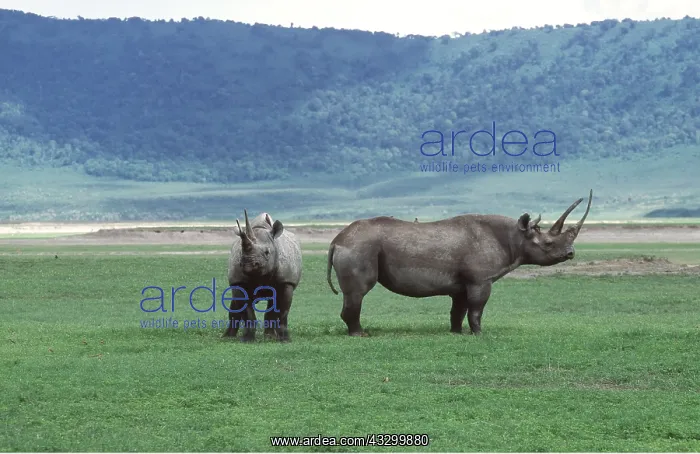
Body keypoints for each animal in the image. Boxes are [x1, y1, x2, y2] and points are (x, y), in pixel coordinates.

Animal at [223, 210, 302, 342]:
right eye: (241, 251)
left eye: (267, 252)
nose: (248, 263)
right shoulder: (238, 281)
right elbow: (247, 312)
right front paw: (247, 339)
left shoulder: (286, 281)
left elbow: (282, 310)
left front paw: (284, 339)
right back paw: (227, 337)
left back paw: (270, 336)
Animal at [326, 190, 593, 336]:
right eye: (548, 243)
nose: (570, 253)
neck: (514, 237)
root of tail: (336, 240)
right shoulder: (480, 280)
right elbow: (476, 308)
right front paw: (479, 334)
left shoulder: (463, 283)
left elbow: (459, 309)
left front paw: (457, 332)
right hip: (359, 247)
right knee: (359, 292)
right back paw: (360, 334)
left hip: (357, 245)